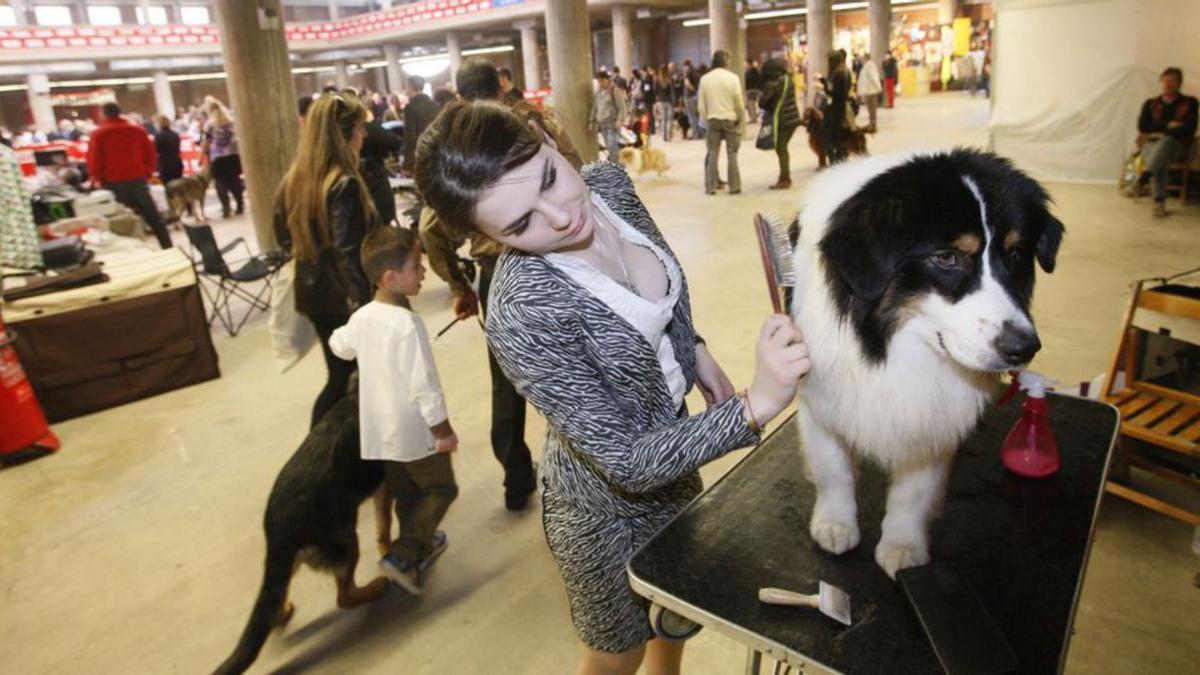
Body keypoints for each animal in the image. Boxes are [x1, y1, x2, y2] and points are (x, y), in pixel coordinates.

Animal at [792, 149, 1065, 576]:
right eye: (946, 257)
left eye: (1016, 254)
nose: (1024, 348)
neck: (891, 347)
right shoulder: (820, 396)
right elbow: (832, 466)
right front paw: (835, 523)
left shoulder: (936, 413)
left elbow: (916, 490)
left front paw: (903, 545)